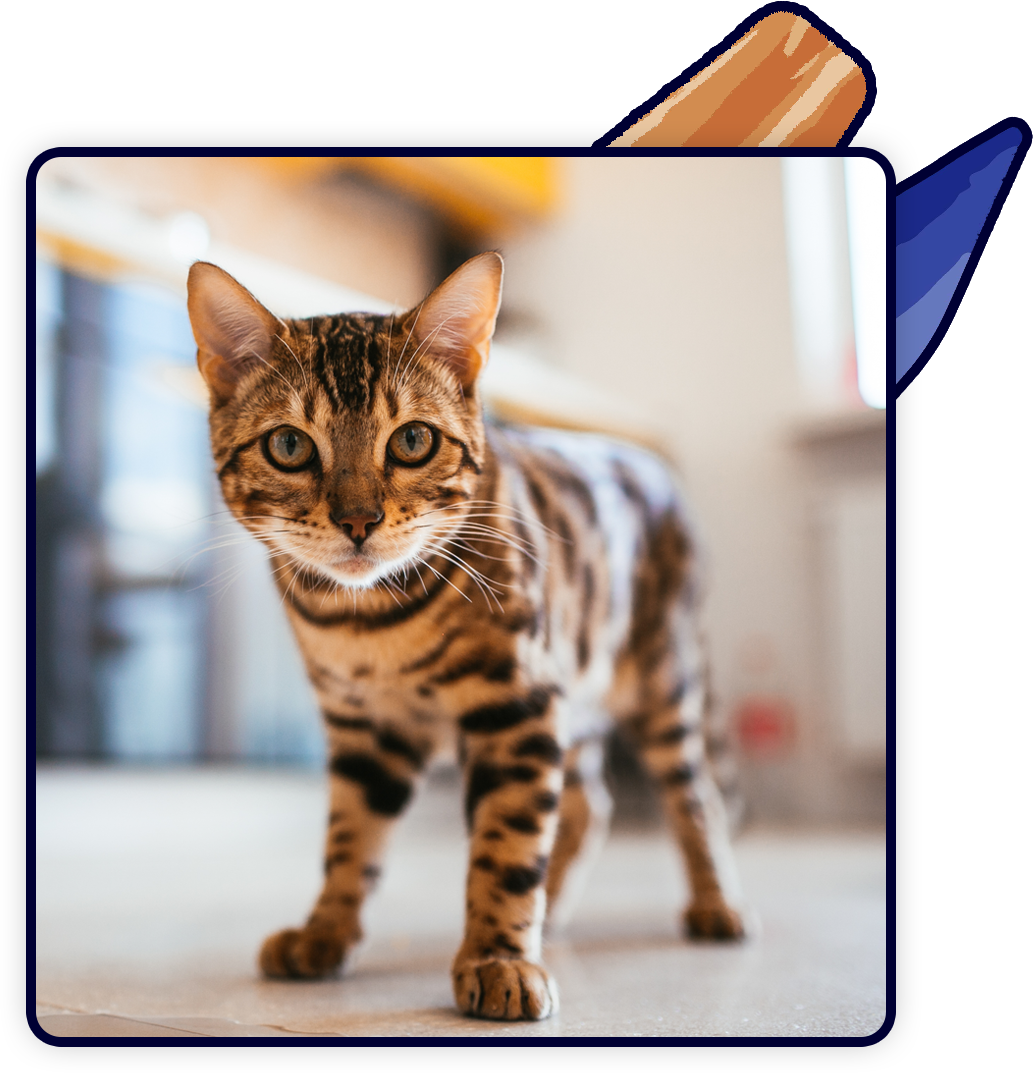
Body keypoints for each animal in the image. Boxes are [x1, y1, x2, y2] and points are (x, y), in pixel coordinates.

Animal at [187, 251, 742, 1021]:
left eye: (413, 440)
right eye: (290, 444)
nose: (357, 520)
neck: (368, 624)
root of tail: (654, 464)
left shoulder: (517, 706)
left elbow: (507, 844)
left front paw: (499, 957)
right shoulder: (366, 728)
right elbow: (349, 839)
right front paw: (325, 931)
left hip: (661, 678)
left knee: (693, 795)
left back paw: (714, 903)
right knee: (590, 802)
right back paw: (554, 907)